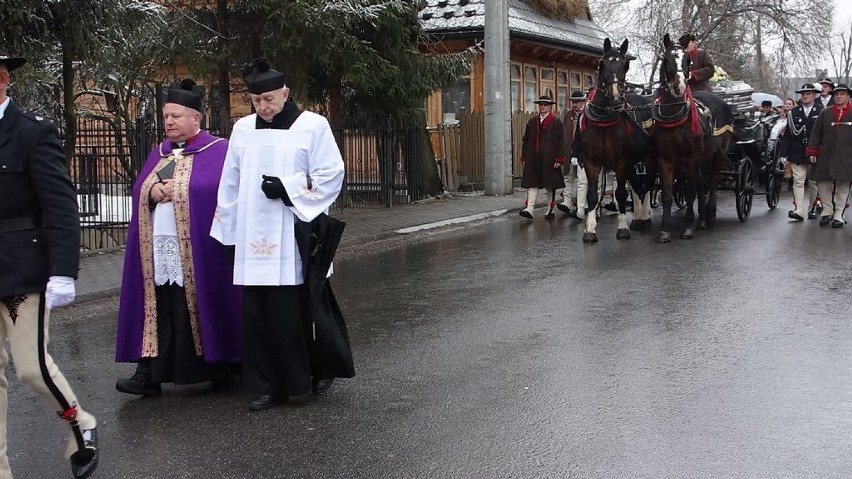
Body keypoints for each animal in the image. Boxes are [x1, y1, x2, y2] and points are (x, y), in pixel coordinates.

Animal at [580, 38, 652, 244]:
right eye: (602, 63)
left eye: (625, 64)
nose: (615, 94)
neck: (605, 118)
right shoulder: (591, 162)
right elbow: (592, 195)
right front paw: (590, 230)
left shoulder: (621, 161)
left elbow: (620, 193)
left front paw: (622, 228)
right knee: (636, 186)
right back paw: (638, 218)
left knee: (648, 185)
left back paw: (645, 216)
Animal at [652, 33, 732, 242]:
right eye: (666, 59)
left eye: (687, 59)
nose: (679, 86)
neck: (675, 117)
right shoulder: (665, 159)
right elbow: (668, 195)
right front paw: (665, 230)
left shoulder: (692, 157)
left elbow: (689, 192)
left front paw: (687, 227)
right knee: (701, 184)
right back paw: (702, 219)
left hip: (718, 155)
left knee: (712, 182)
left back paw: (710, 215)